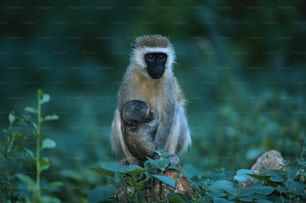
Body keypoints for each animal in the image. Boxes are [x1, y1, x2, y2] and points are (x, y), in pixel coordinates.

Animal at [110, 34, 191, 165]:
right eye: (151, 57)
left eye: (162, 57)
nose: (158, 67)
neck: (149, 79)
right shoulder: (129, 76)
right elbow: (123, 115)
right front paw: (132, 159)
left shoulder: (167, 79)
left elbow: (167, 118)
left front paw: (156, 155)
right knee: (118, 114)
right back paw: (128, 158)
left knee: (176, 113)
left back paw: (172, 156)